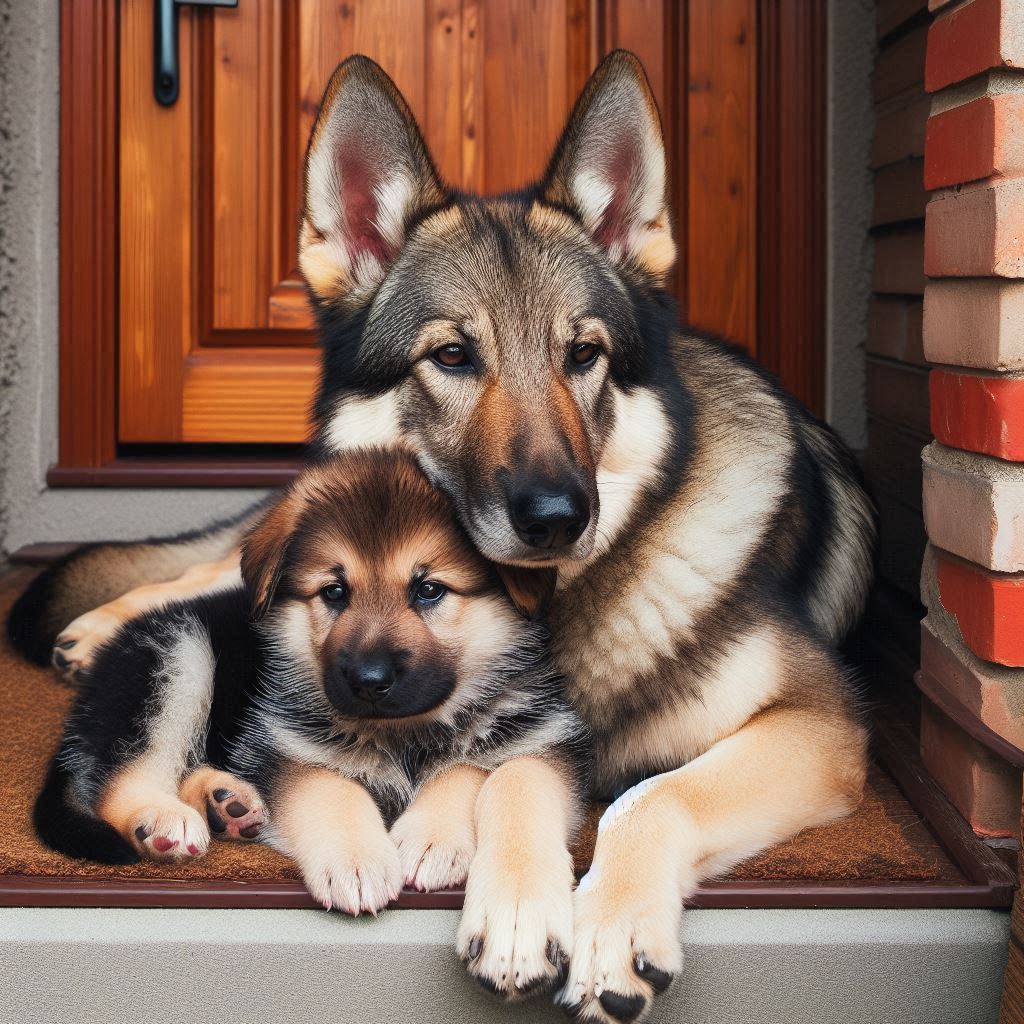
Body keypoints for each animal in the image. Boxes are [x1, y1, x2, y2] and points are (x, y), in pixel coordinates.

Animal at [37, 446, 593, 991]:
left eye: (429, 590)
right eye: (334, 592)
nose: (368, 680)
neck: (403, 732)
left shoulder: (535, 737)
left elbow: (466, 768)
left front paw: (431, 837)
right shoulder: (286, 748)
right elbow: (331, 789)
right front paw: (356, 858)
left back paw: (227, 803)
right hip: (177, 652)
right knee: (123, 776)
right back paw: (161, 818)